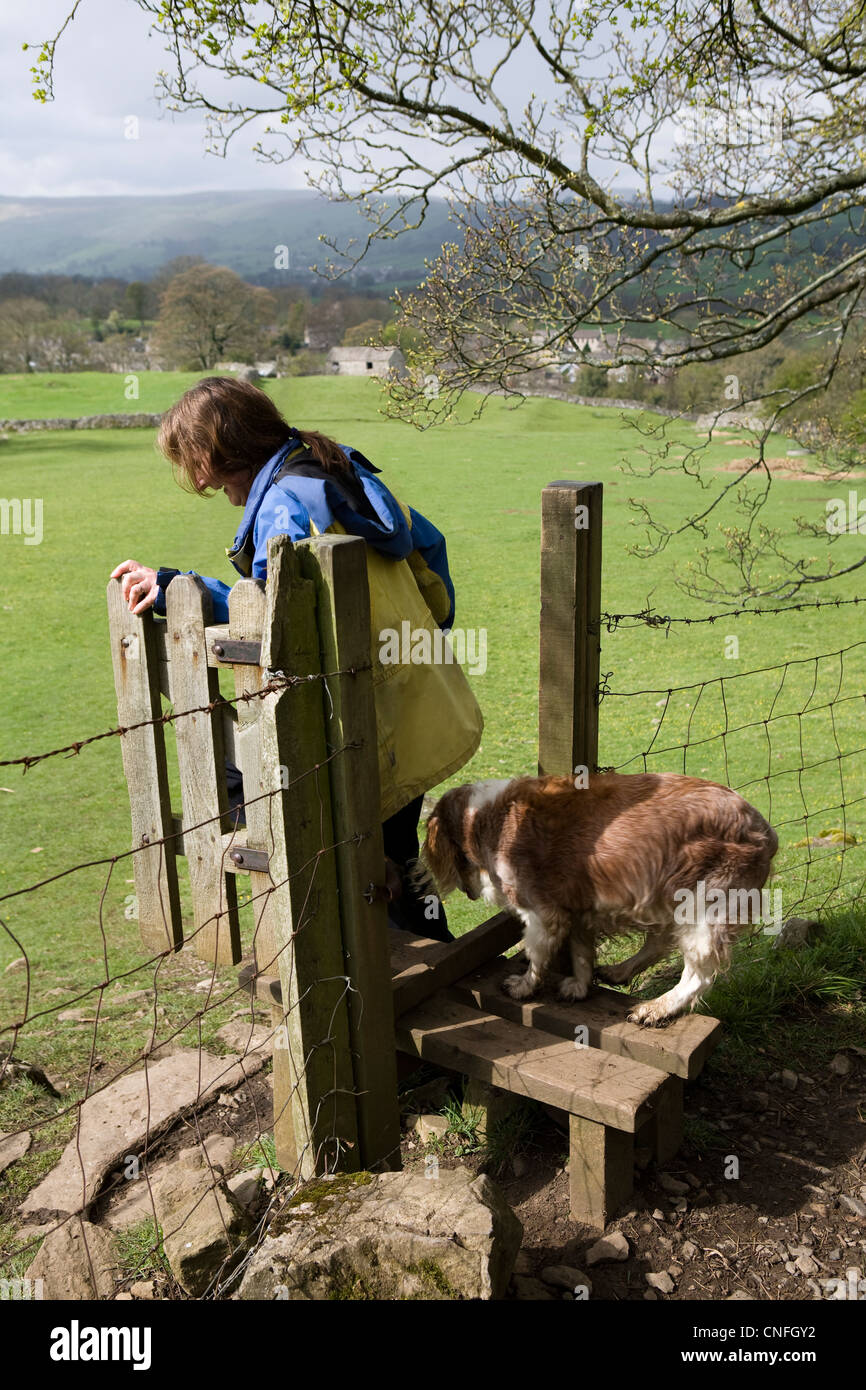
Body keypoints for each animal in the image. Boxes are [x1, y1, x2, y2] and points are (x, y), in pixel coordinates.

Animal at [419, 778, 778, 1028]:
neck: (486, 817)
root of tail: (764, 829)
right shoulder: (579, 909)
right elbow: (580, 953)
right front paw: (579, 986)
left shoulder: (542, 914)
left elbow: (537, 957)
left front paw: (523, 987)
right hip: (666, 897)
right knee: (658, 943)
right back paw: (620, 971)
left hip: (702, 909)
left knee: (697, 976)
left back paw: (657, 1007)